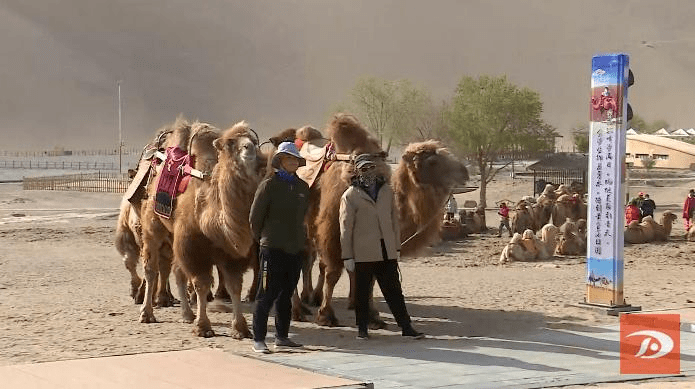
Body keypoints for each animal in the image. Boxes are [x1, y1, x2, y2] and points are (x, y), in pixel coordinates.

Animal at [137, 118, 266, 336]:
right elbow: (201, 283)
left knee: (177, 270)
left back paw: (187, 314)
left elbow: (235, 286)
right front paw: (203, 326)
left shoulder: (230, 251)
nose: (248, 148)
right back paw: (146, 314)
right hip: (153, 224)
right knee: (151, 267)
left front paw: (240, 328)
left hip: (173, 233)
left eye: (254, 141)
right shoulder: (192, 243)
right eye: (230, 143)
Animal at [308, 113, 468, 328]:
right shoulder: (333, 234)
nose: (465, 171)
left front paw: (372, 316)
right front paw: (326, 316)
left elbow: (370, 278)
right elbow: (333, 273)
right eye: (433, 161)